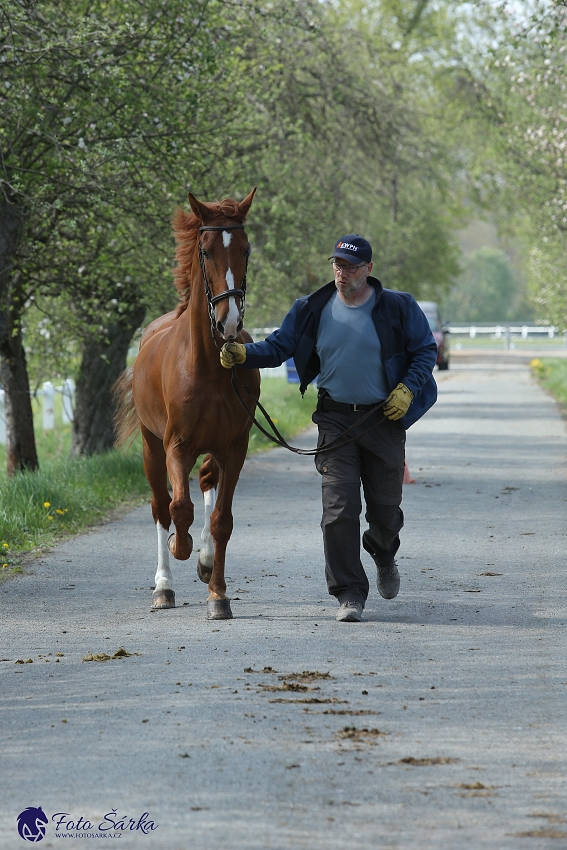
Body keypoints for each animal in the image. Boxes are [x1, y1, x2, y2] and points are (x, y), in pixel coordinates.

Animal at [116, 189, 262, 620]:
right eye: (206, 249)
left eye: (246, 249)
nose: (229, 323)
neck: (209, 367)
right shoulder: (175, 446)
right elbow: (178, 507)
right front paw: (180, 550)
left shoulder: (234, 447)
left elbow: (221, 520)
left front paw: (218, 594)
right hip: (151, 448)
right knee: (160, 506)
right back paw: (163, 587)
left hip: (211, 449)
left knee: (208, 485)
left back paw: (206, 562)